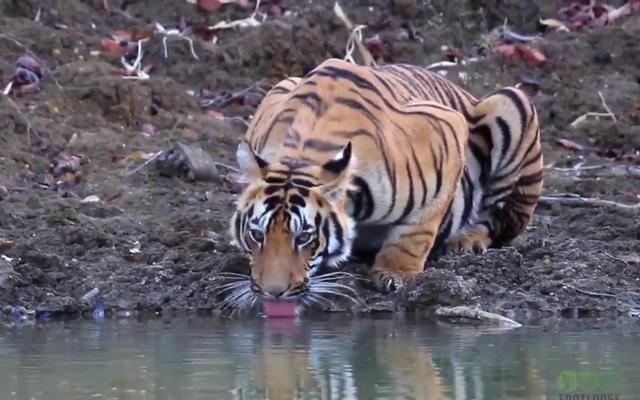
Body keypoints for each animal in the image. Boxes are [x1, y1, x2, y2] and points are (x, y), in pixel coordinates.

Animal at [228, 56, 544, 308]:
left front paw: (395, 275)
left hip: (514, 103)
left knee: (500, 219)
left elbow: (416, 232)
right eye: (257, 234)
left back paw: (465, 241)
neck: (303, 155)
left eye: (304, 237)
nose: (273, 293)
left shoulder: (448, 130)